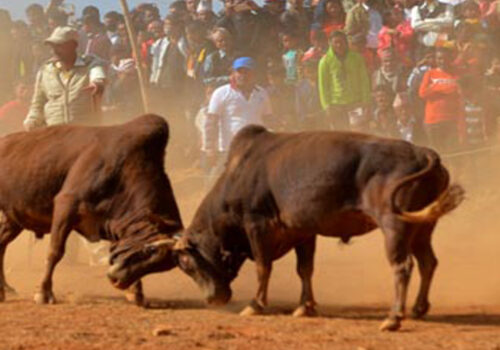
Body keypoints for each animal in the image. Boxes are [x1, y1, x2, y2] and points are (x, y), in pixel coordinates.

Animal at [0, 115, 183, 306]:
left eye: (157, 267)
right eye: (150, 250)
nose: (118, 280)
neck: (125, 169)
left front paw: (137, 293)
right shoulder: (66, 205)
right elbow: (55, 252)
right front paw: (44, 292)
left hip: (13, 220)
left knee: (1, 244)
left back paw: (4, 289)